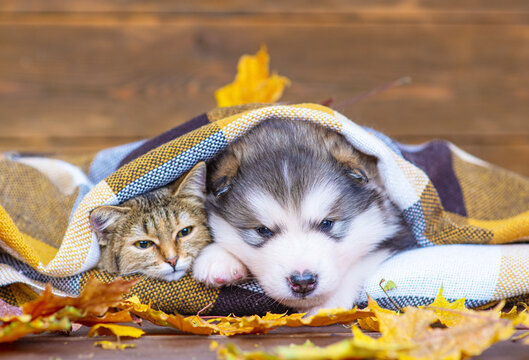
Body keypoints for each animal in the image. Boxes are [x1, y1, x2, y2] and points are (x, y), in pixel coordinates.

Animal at [192, 119, 414, 314]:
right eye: (263, 230)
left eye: (327, 224)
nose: (303, 282)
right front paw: (218, 259)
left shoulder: (397, 232)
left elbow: (363, 259)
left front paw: (328, 301)